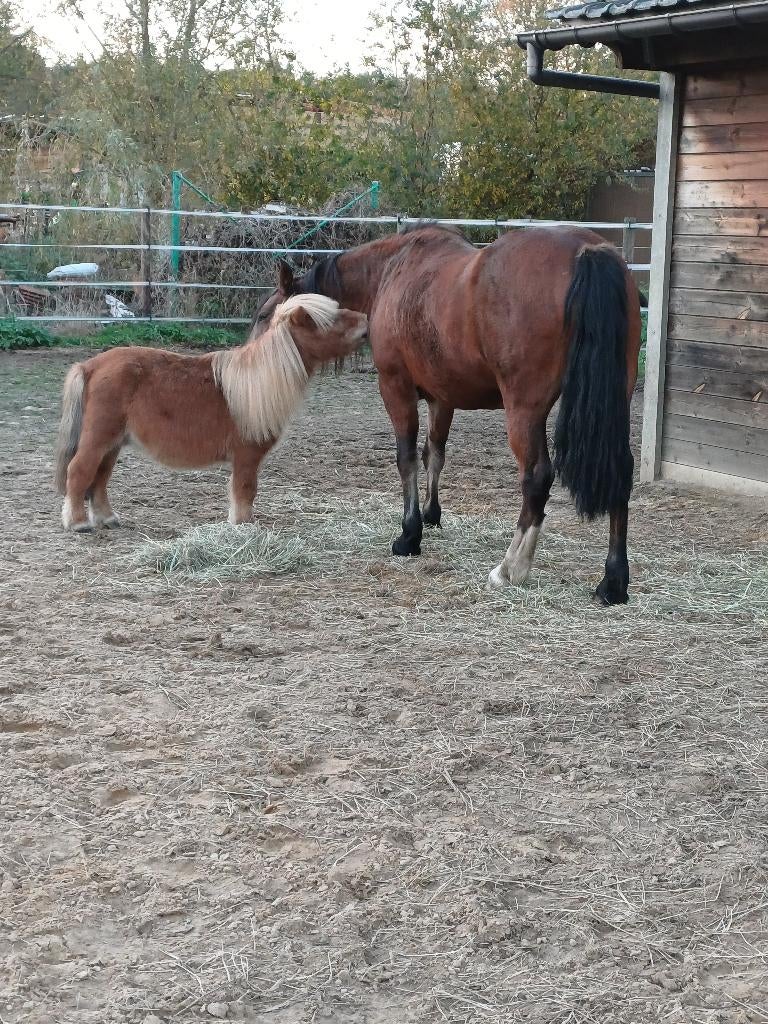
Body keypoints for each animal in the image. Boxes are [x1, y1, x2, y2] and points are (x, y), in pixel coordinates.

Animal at [54, 294, 368, 532]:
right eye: (331, 320)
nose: (366, 319)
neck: (260, 382)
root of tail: (90, 366)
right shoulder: (246, 456)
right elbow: (245, 489)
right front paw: (243, 524)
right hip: (99, 439)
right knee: (79, 471)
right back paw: (79, 523)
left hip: (112, 444)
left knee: (100, 478)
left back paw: (107, 518)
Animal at [254, 224, 642, 605]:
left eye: (263, 315)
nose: (253, 356)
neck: (392, 272)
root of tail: (587, 251)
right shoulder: (442, 397)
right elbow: (434, 454)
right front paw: (431, 515)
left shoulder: (395, 386)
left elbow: (407, 458)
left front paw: (409, 536)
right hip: (614, 403)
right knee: (620, 470)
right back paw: (613, 582)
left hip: (524, 410)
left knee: (537, 477)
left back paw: (511, 568)